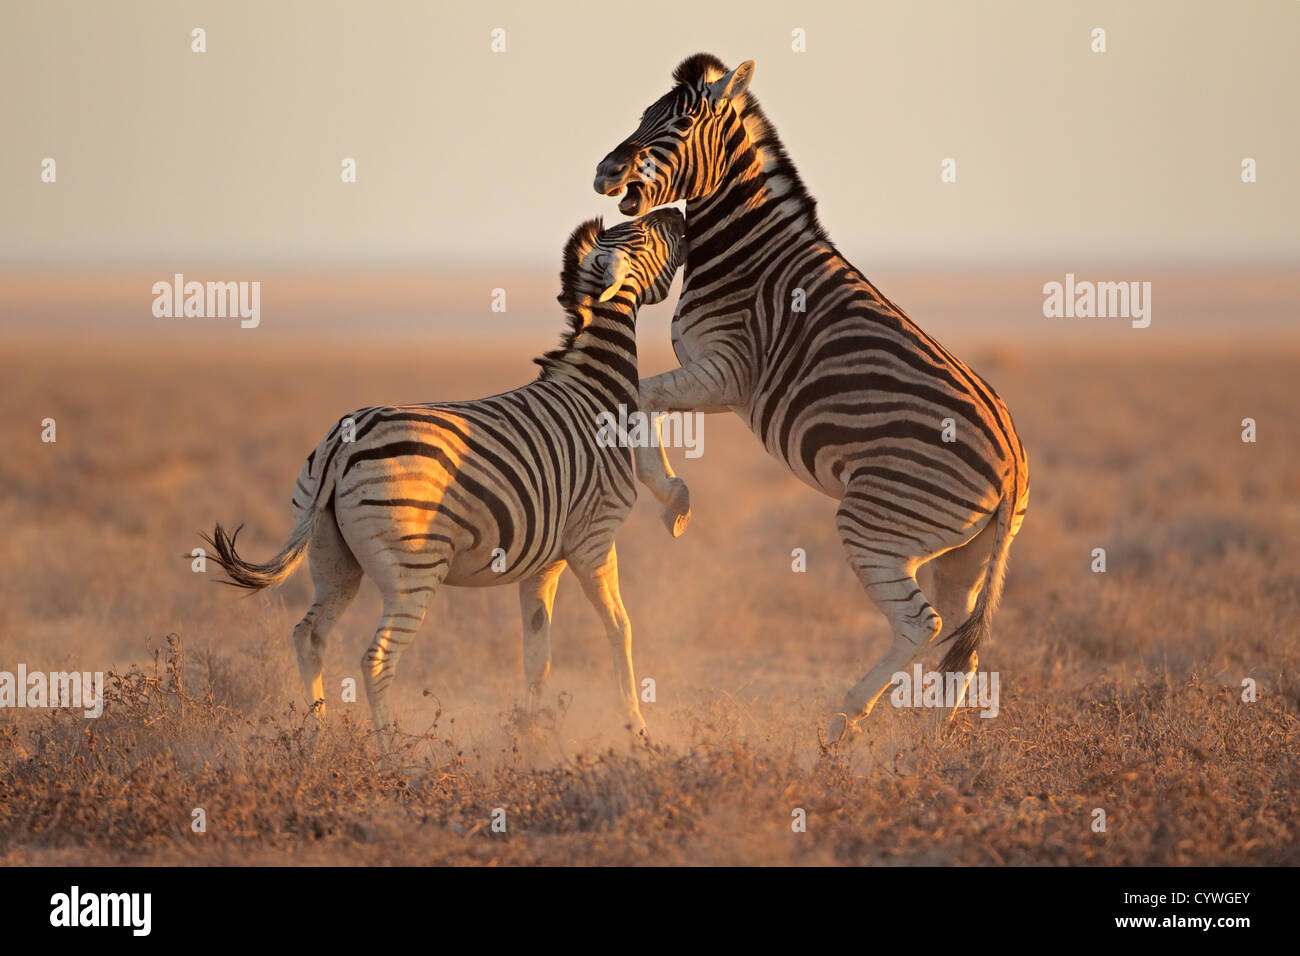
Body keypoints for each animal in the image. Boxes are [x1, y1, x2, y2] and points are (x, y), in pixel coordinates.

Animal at [198, 208, 686, 749]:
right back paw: (393, 754)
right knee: (376, 659)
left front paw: (531, 735)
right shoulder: (594, 539)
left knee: (311, 636)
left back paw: (318, 737)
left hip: (331, 558)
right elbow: (619, 628)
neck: (595, 390)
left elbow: (536, 652)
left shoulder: (544, 561)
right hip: (415, 569)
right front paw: (637, 730)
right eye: (644, 234)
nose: (677, 214)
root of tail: (341, 443)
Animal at [595, 54, 1029, 749]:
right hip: (965, 554)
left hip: (876, 521)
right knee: (959, 643)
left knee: (923, 626)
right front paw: (673, 496)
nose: (605, 172)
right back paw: (928, 749)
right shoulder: (720, 385)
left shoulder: (728, 372)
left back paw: (842, 721)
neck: (746, 252)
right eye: (644, 115)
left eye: (678, 123)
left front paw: (673, 499)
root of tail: (1013, 462)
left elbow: (639, 395)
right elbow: (645, 400)